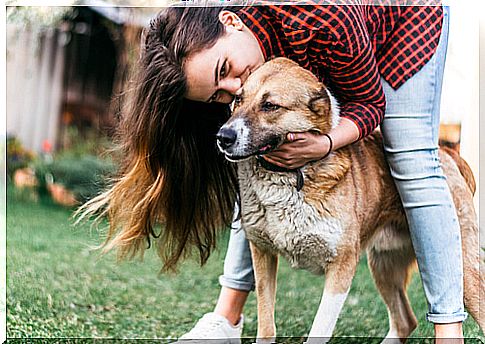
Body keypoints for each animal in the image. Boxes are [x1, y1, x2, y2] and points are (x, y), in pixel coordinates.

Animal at [216, 57, 484, 342]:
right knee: (405, 320)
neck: (293, 177)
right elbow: (267, 325)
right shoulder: (263, 255)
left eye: (270, 105)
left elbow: (320, 328)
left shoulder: (342, 266)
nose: (223, 137)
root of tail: (446, 152)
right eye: (238, 99)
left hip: (460, 269)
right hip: (383, 266)